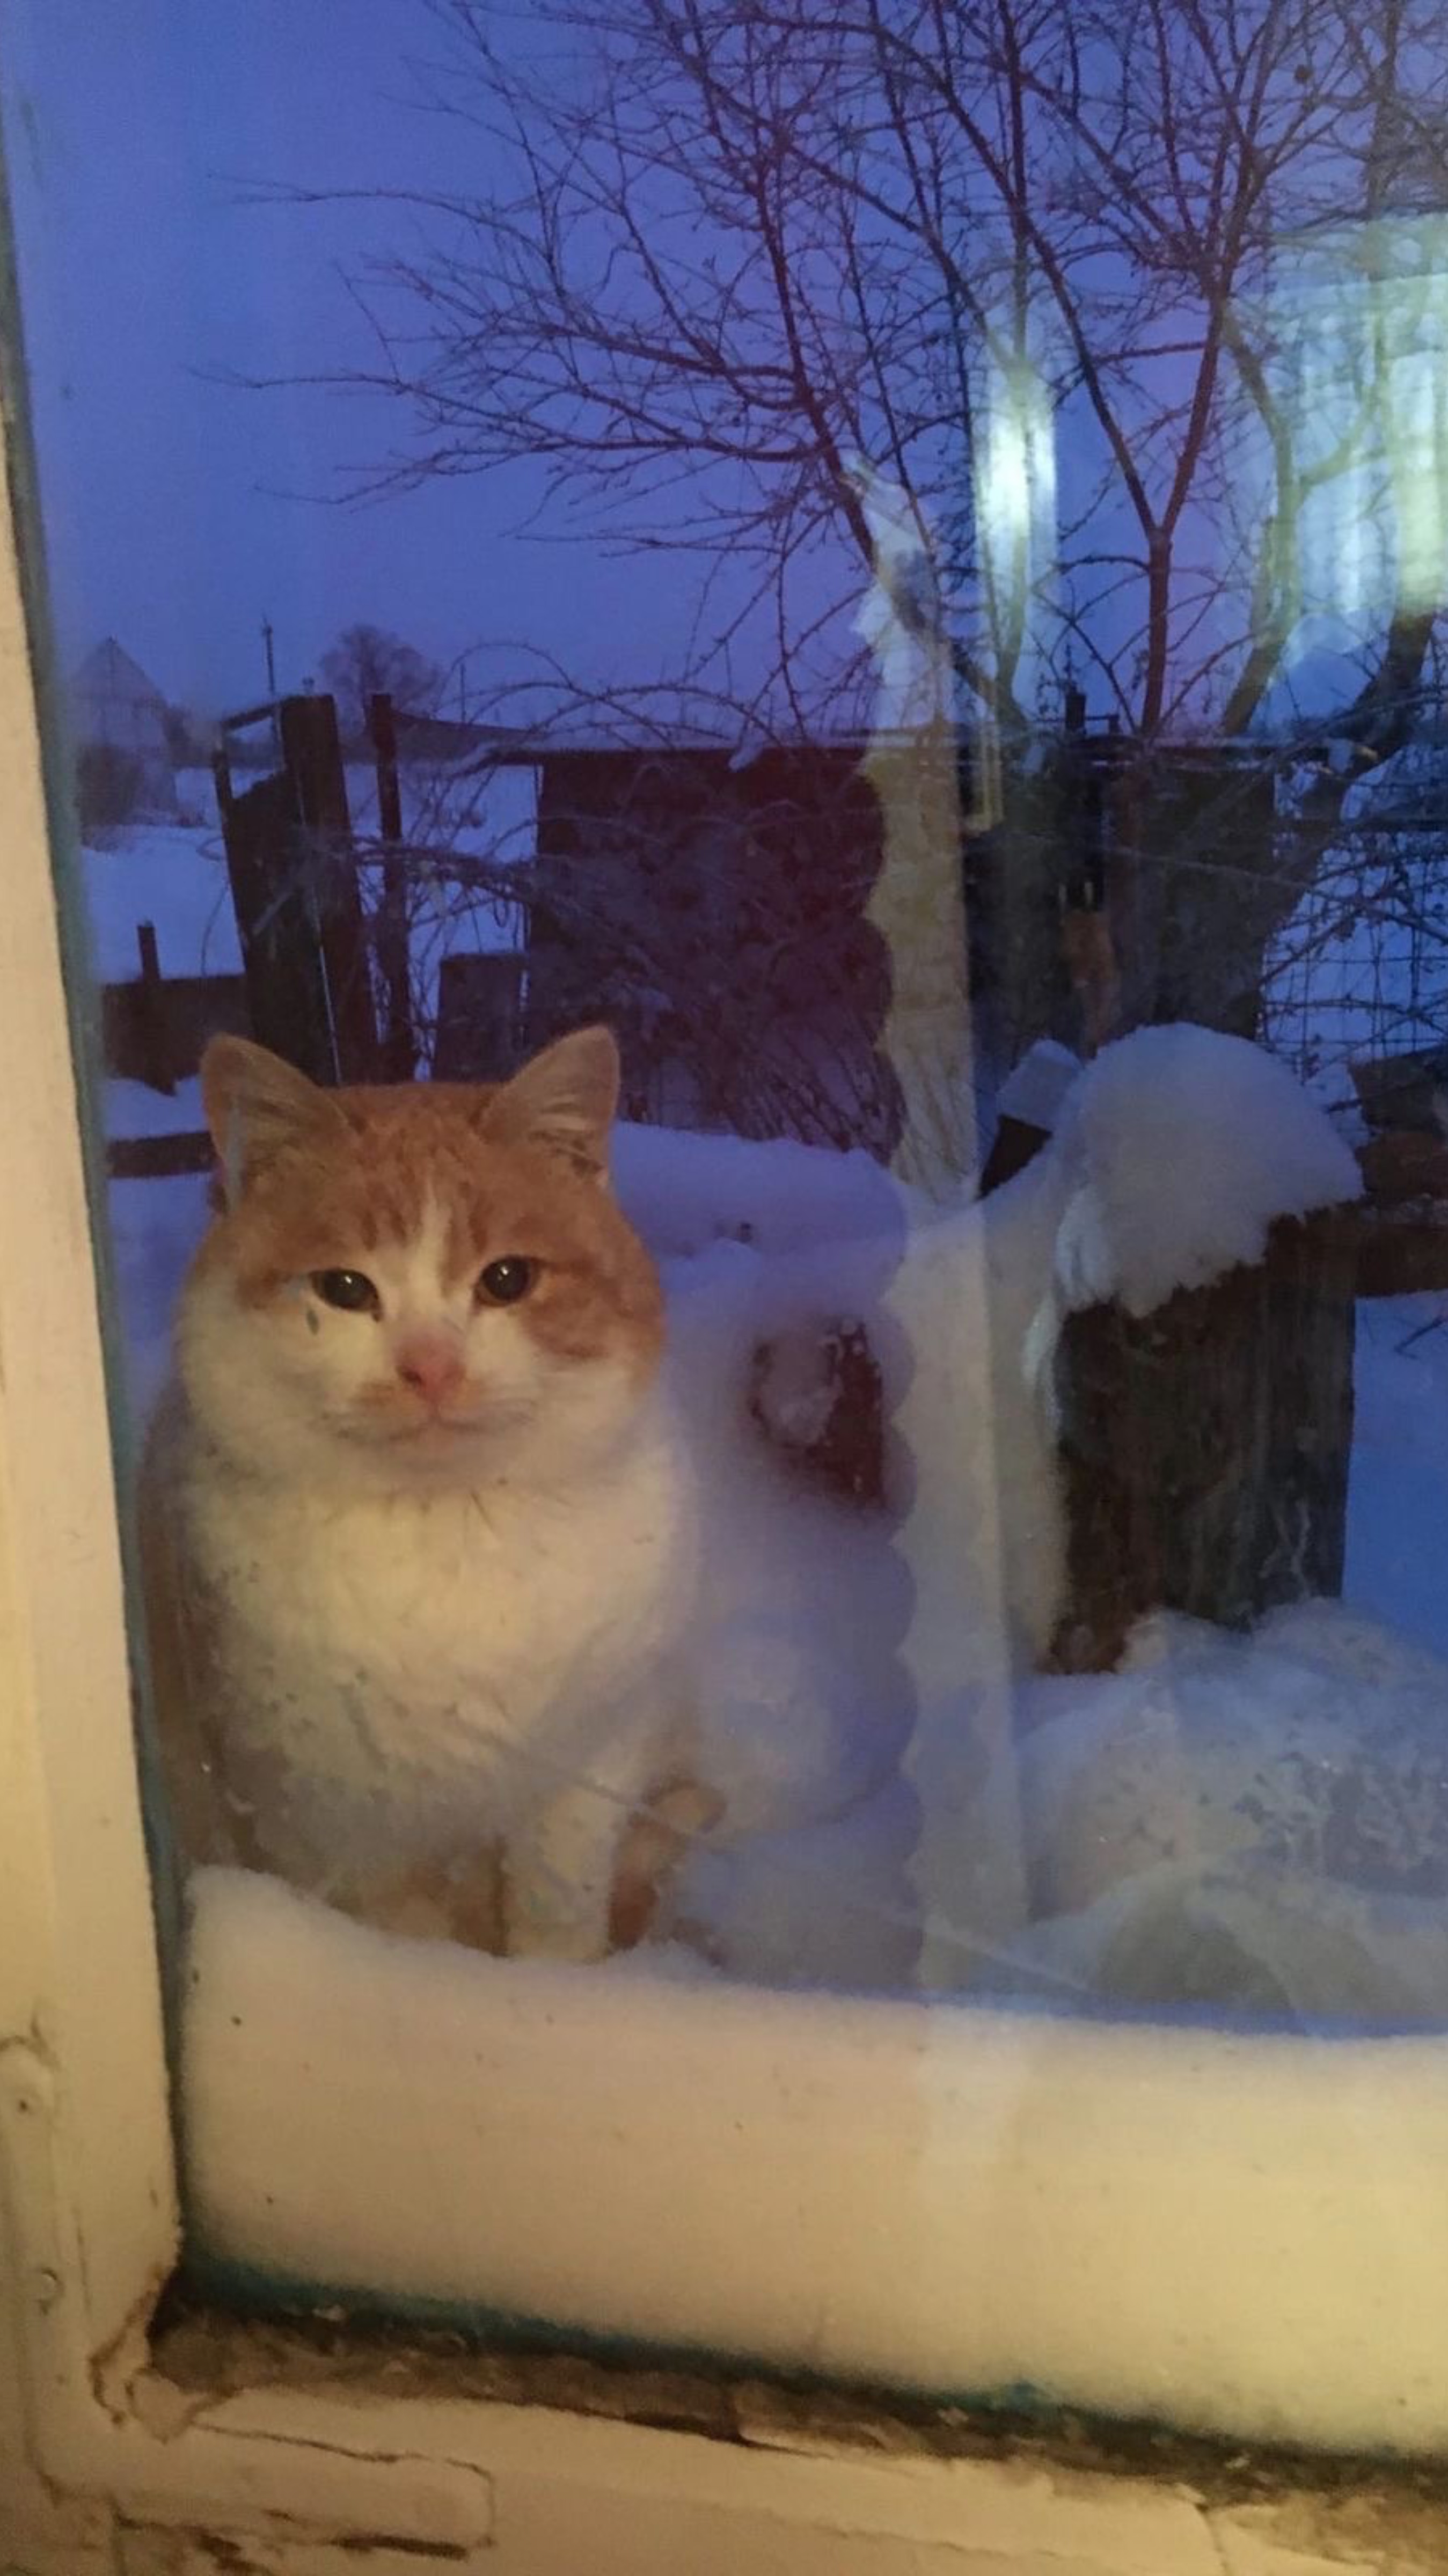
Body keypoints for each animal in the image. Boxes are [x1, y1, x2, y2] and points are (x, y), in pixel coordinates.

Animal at [145, 1025, 706, 1947]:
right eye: (343, 1288)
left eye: (507, 1279)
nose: (431, 1368)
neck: (452, 1531)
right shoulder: (323, 1817)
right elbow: (408, 1938)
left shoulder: (589, 1770)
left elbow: (556, 1913)